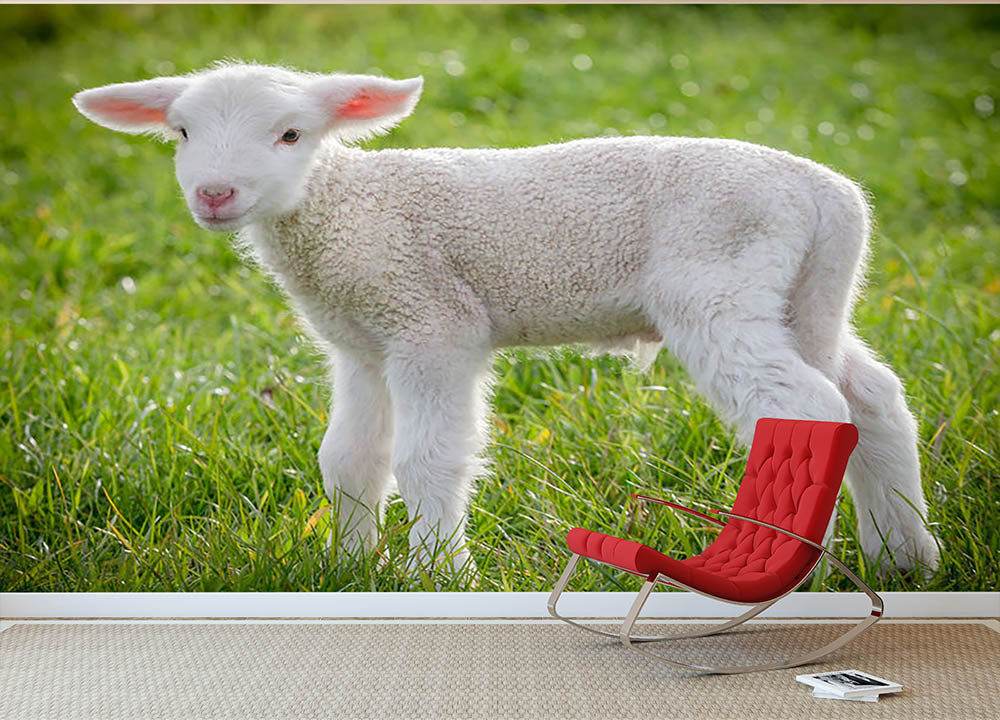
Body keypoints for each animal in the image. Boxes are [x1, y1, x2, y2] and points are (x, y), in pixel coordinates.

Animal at [73, 61, 940, 576]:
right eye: (181, 132)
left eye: (291, 134)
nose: (214, 194)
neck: (348, 210)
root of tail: (827, 193)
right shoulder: (361, 344)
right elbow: (349, 457)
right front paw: (350, 567)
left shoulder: (432, 322)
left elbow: (427, 458)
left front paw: (435, 572)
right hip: (806, 295)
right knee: (871, 399)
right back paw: (905, 556)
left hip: (719, 284)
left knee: (804, 406)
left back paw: (782, 565)